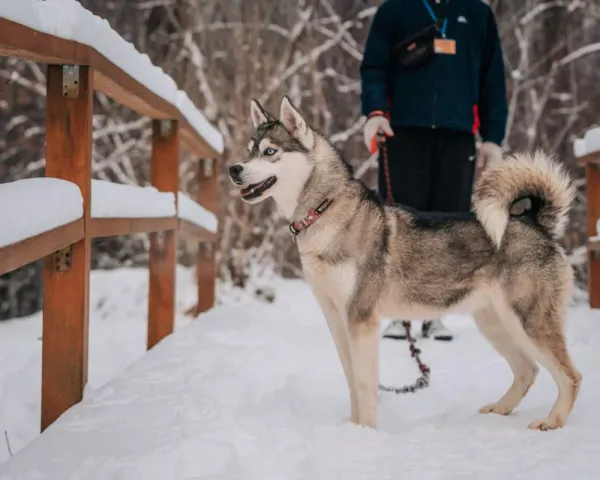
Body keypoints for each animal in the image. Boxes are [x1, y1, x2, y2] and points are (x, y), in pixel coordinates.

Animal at [230, 95, 580, 430]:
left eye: (270, 151)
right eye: (249, 151)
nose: (234, 169)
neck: (323, 210)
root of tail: (535, 222)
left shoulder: (361, 319)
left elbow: (364, 383)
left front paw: (365, 432)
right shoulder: (337, 320)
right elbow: (351, 380)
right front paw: (353, 428)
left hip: (529, 323)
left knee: (570, 376)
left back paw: (551, 422)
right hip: (494, 323)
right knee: (528, 370)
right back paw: (500, 409)